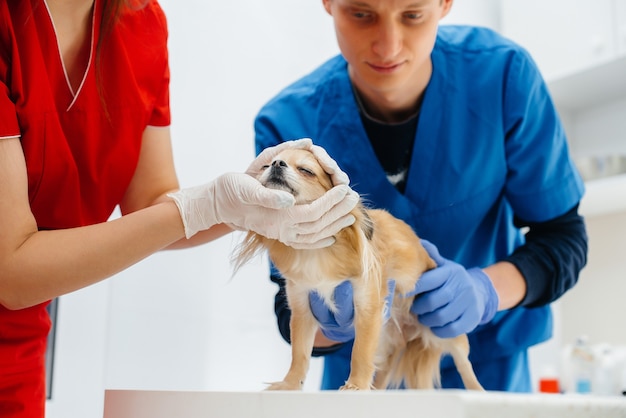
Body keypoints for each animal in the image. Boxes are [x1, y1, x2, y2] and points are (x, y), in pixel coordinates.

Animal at [234, 149, 482, 390]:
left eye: (306, 170)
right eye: (266, 165)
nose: (277, 163)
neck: (316, 250)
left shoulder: (368, 308)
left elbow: (360, 354)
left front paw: (356, 385)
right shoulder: (303, 309)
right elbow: (300, 354)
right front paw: (290, 384)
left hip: (443, 332)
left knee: (465, 365)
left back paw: (479, 391)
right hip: (386, 338)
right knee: (384, 368)